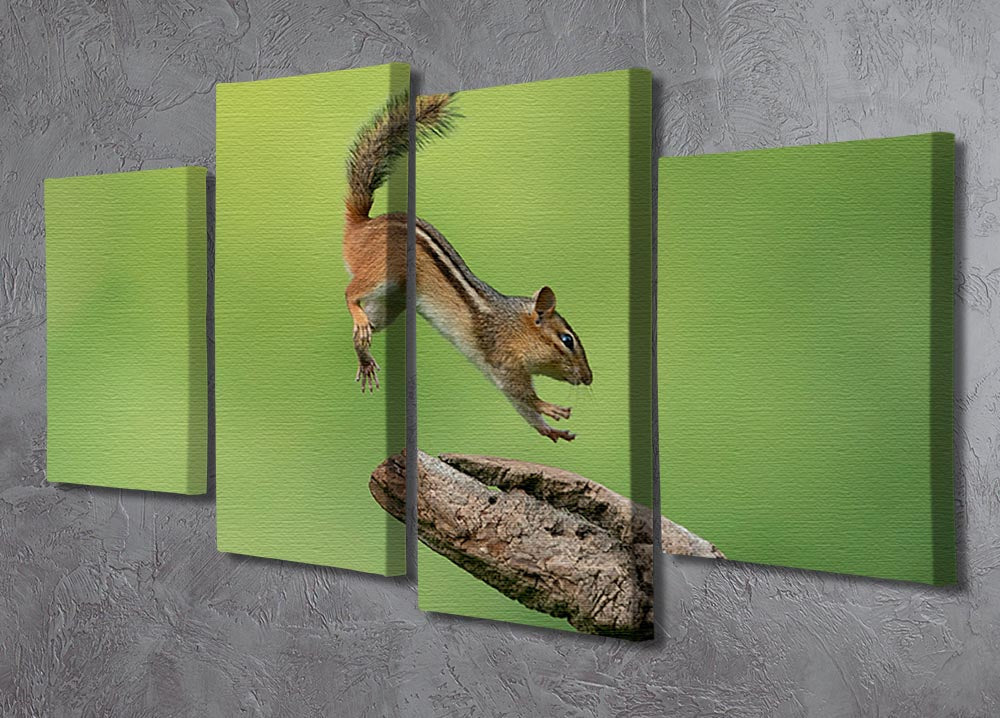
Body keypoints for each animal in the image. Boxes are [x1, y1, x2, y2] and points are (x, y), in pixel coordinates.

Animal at [342, 92, 593, 443]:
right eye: (567, 340)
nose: (589, 377)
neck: (513, 325)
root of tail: (362, 225)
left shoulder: (501, 370)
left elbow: (520, 406)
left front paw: (550, 430)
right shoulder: (504, 361)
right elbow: (523, 394)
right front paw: (550, 409)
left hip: (390, 303)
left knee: (363, 329)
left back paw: (364, 357)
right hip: (379, 273)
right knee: (350, 293)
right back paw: (357, 315)